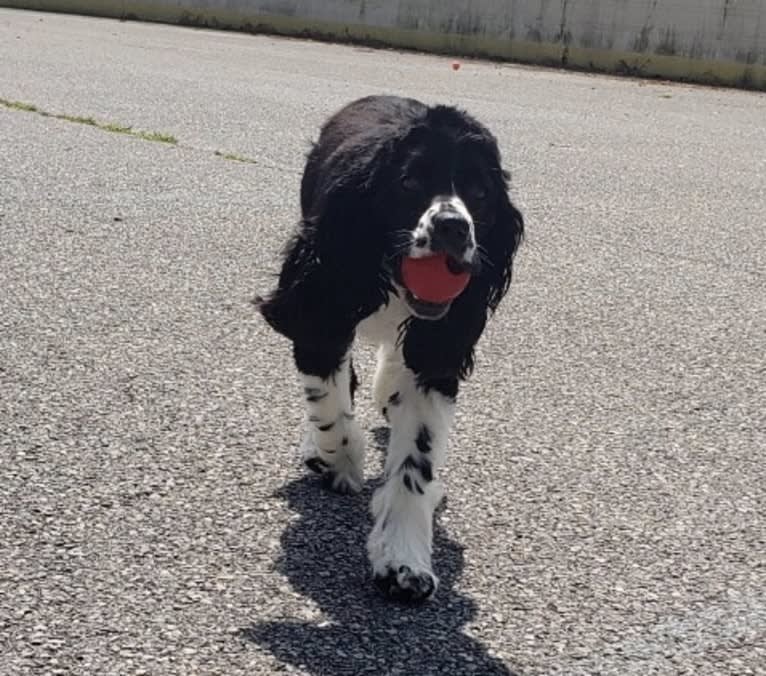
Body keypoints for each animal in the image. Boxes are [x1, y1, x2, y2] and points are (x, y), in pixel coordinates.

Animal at [258, 95, 528, 604]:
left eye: (480, 193)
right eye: (409, 182)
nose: (452, 227)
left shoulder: (439, 350)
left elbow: (414, 461)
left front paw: (403, 561)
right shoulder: (318, 310)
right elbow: (331, 409)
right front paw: (339, 459)